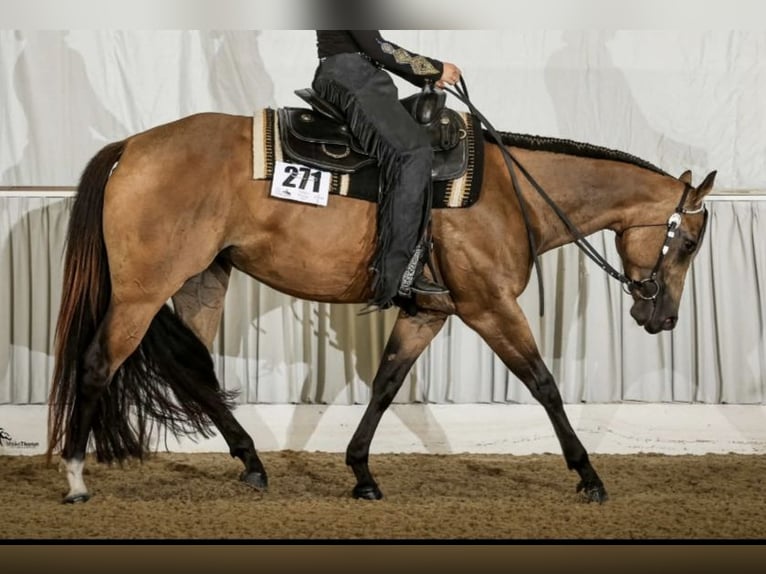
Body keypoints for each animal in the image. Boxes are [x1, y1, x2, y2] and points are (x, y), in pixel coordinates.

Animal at [45, 102, 715, 505]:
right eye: (686, 243)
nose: (662, 318)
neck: (509, 192)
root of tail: (133, 145)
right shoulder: (489, 307)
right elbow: (543, 383)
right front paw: (589, 475)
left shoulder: (428, 312)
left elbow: (386, 384)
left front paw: (362, 472)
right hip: (142, 291)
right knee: (98, 364)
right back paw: (76, 477)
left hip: (201, 283)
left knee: (195, 374)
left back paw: (252, 463)